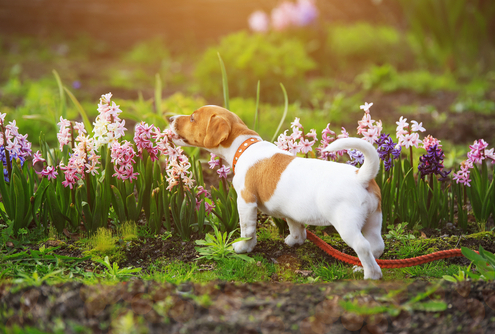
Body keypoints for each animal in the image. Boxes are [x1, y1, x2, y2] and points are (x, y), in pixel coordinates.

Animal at [170, 105, 384, 278]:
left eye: (192, 118)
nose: (170, 118)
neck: (244, 146)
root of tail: (361, 176)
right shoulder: (292, 211)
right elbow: (296, 227)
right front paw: (294, 241)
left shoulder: (246, 202)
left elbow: (247, 229)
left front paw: (243, 248)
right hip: (373, 219)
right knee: (376, 246)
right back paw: (361, 267)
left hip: (346, 225)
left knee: (363, 246)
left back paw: (370, 275)